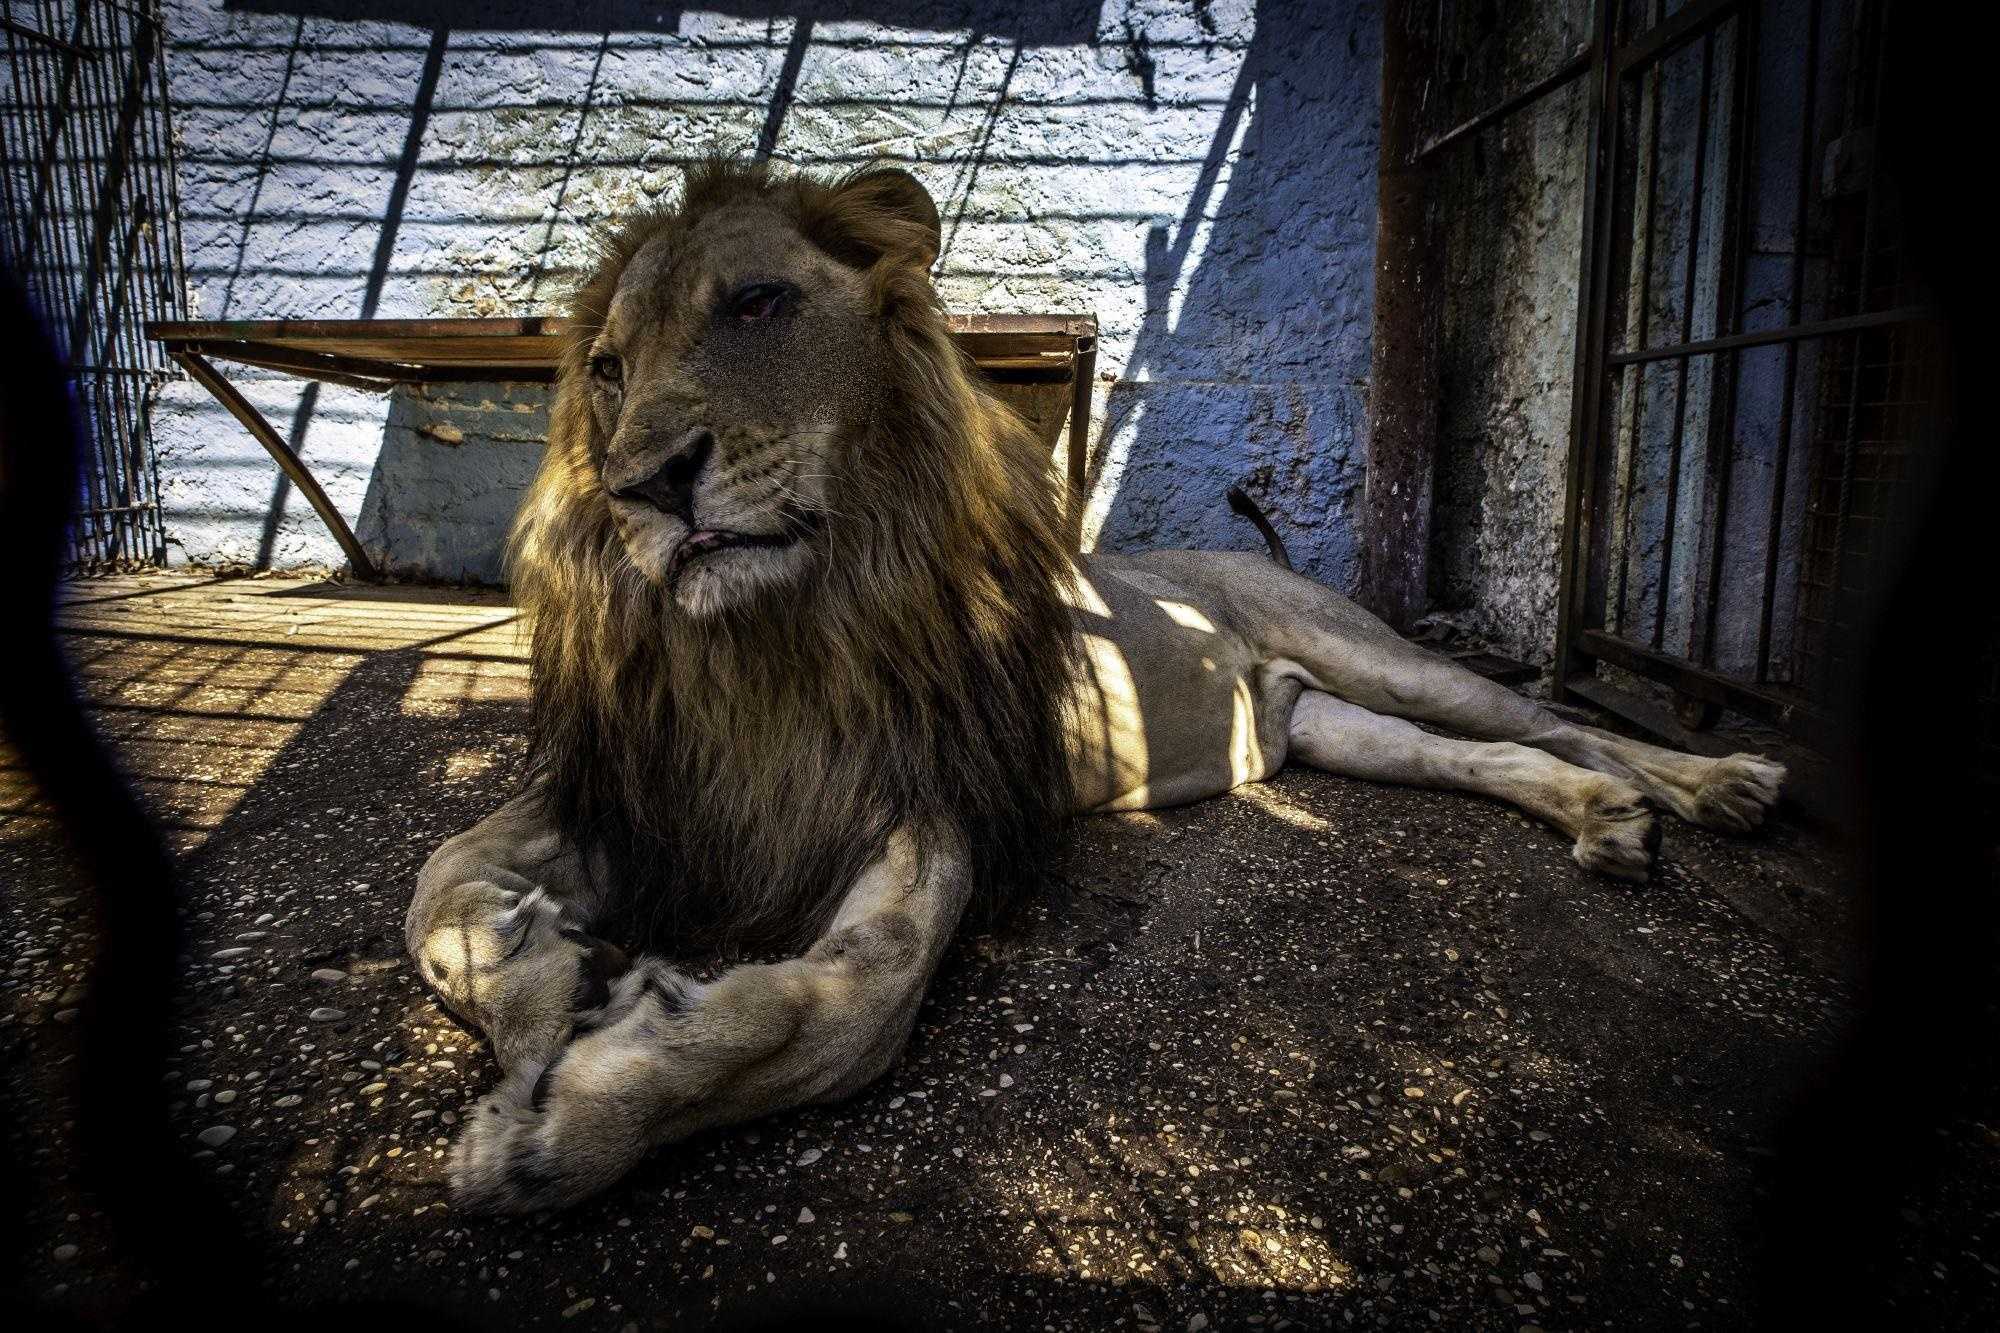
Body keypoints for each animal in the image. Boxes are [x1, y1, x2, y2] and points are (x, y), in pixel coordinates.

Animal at [406, 161, 1784, 1208]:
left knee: (1551, 718)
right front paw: (544, 989)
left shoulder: (929, 797)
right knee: (1488, 759)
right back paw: (1604, 823)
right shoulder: (642, 789)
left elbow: (851, 1006)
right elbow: (436, 891)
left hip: (1377, 654)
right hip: (1330, 730)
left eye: (754, 303)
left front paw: (580, 1109)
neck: (771, 637)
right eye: (605, 370)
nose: (641, 486)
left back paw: (1712, 781)